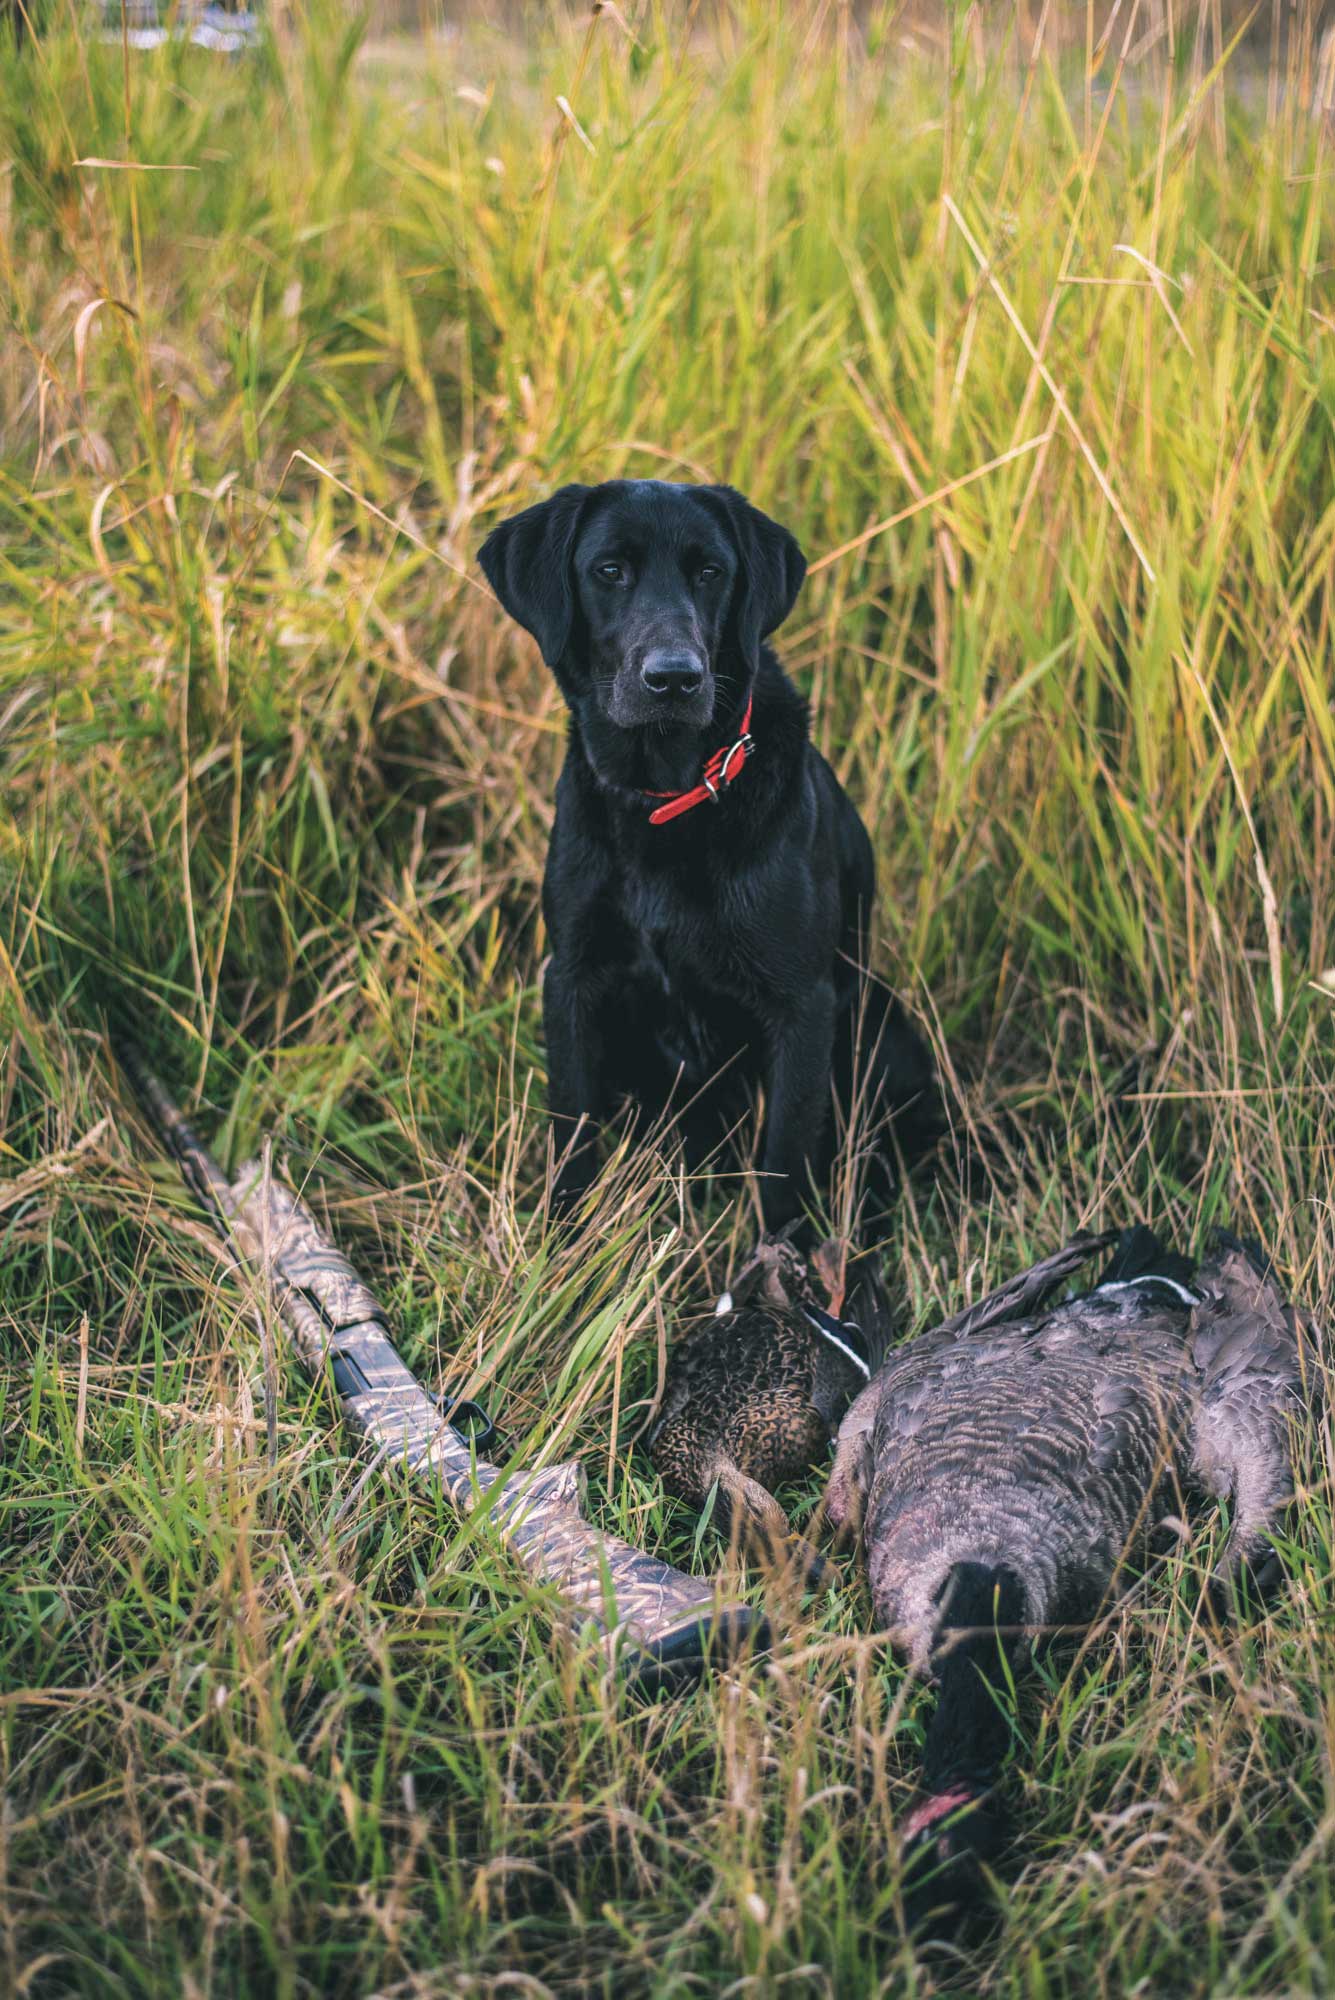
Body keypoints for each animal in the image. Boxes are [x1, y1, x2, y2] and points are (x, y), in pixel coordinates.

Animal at [479, 484, 939, 1232]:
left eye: (710, 572)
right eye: (609, 570)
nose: (674, 678)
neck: (666, 801)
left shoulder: (802, 1005)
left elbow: (784, 1159)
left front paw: (785, 1260)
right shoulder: (571, 978)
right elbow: (572, 1132)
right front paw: (563, 1244)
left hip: (878, 1024)